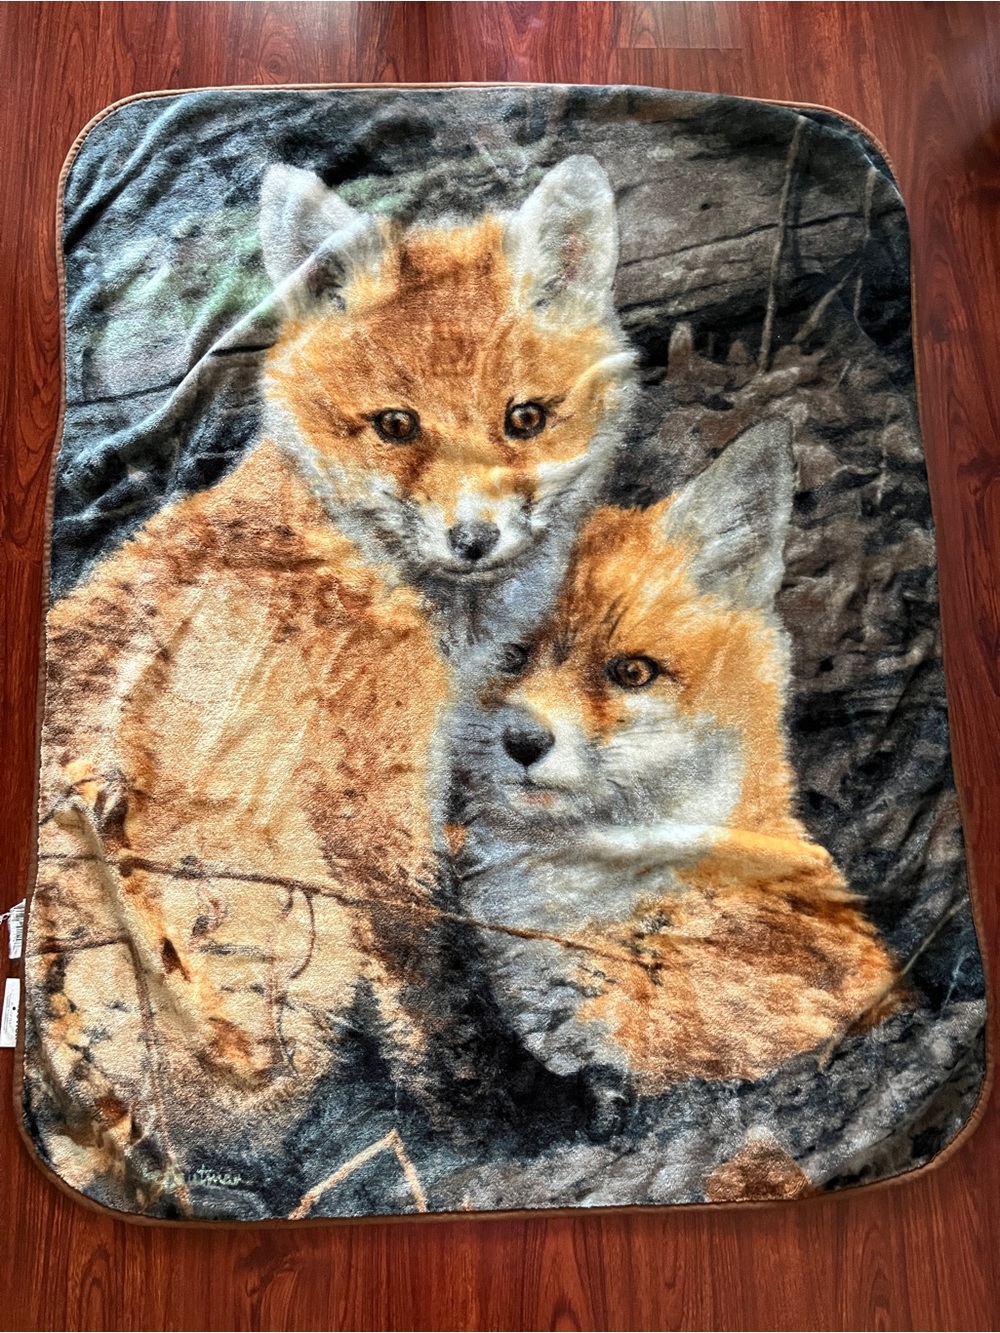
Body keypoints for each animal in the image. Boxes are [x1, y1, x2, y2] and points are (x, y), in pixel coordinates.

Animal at [26, 154, 635, 1197]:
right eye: (396, 424)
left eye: (524, 418)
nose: (472, 538)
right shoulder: (362, 807)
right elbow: (440, 979)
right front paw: (507, 1109)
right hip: (274, 955)